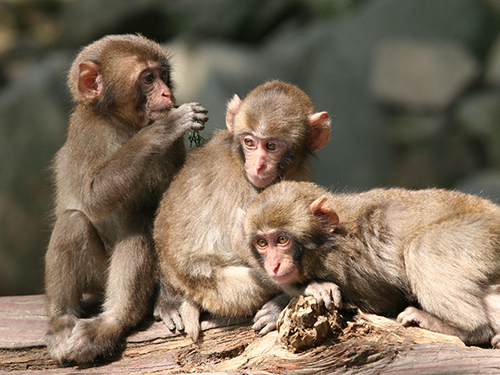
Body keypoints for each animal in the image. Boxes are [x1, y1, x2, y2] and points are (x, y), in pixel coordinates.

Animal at [43, 33, 207, 366]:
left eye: (164, 74)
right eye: (148, 78)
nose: (167, 92)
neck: (123, 124)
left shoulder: (173, 151)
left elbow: (168, 215)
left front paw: (170, 301)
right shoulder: (86, 132)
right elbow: (92, 197)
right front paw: (166, 127)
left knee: (139, 219)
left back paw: (114, 320)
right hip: (97, 274)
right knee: (73, 221)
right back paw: (65, 319)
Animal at [154, 81, 330, 342]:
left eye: (271, 145)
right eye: (250, 143)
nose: (257, 165)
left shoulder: (298, 172)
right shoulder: (240, 183)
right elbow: (244, 241)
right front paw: (307, 287)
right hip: (217, 291)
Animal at [241, 181, 500, 348]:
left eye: (282, 239)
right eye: (262, 242)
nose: (273, 265)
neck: (328, 243)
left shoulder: (350, 267)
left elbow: (382, 303)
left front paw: (306, 291)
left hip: (480, 233)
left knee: (421, 247)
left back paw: (468, 329)